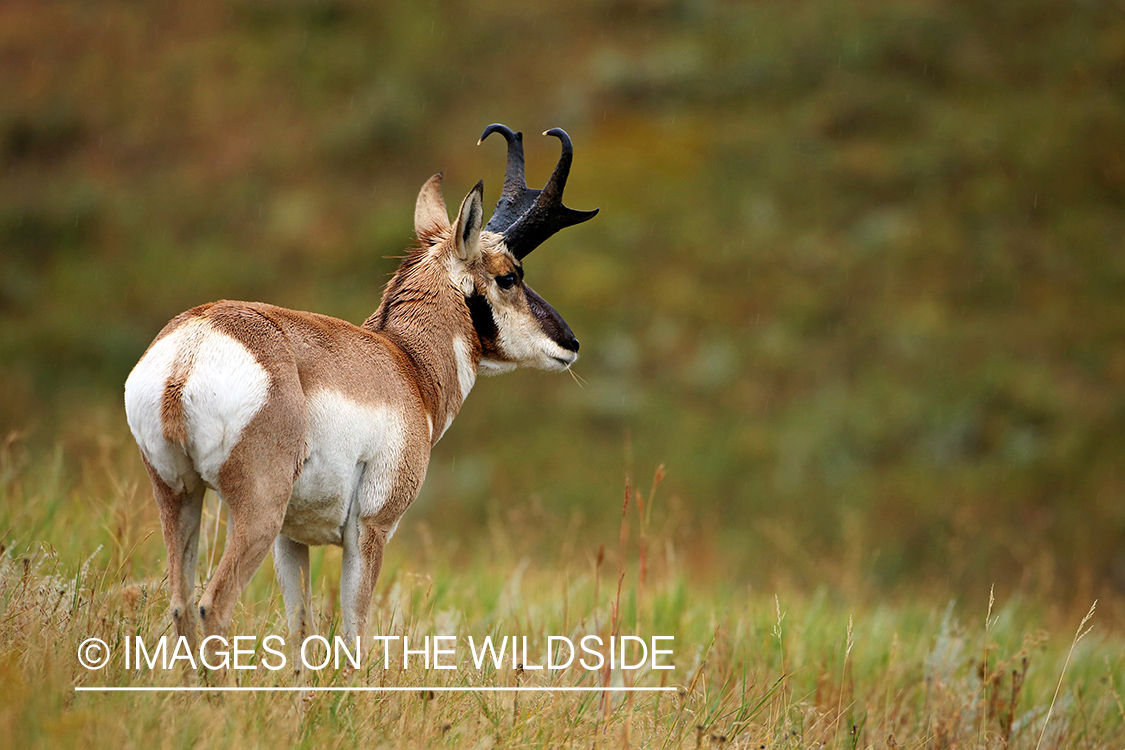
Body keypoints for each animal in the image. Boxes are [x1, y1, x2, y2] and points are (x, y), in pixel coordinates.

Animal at [123, 125, 598, 652]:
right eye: (509, 276)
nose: (571, 343)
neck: (405, 363)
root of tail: (193, 346)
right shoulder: (371, 530)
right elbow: (355, 634)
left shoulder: (292, 539)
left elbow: (302, 632)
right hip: (256, 511)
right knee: (213, 605)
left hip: (179, 496)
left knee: (182, 605)